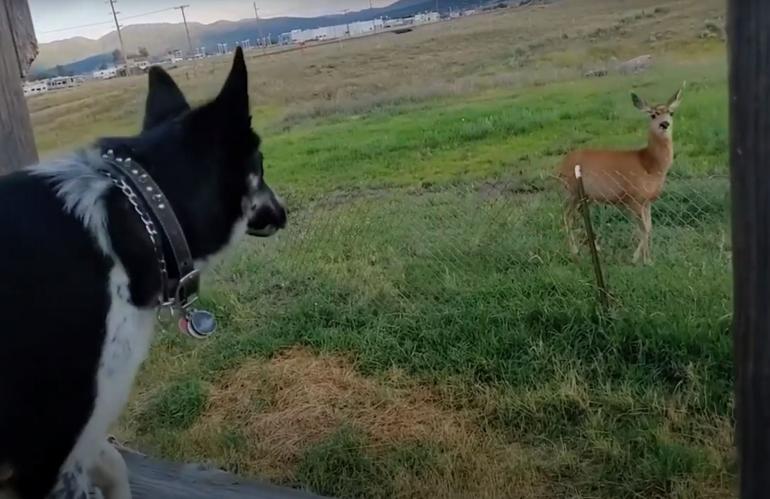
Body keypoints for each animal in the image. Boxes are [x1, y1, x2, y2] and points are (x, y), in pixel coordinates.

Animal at [558, 83, 685, 265]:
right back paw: (575, 251)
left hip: (586, 195)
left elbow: (649, 227)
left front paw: (648, 259)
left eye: (671, 112)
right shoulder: (633, 198)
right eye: (653, 114)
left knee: (579, 214)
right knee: (567, 216)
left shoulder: (647, 201)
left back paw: (595, 248)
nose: (665, 124)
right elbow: (643, 229)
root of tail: (561, 164)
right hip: (572, 191)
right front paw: (638, 259)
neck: (649, 165)